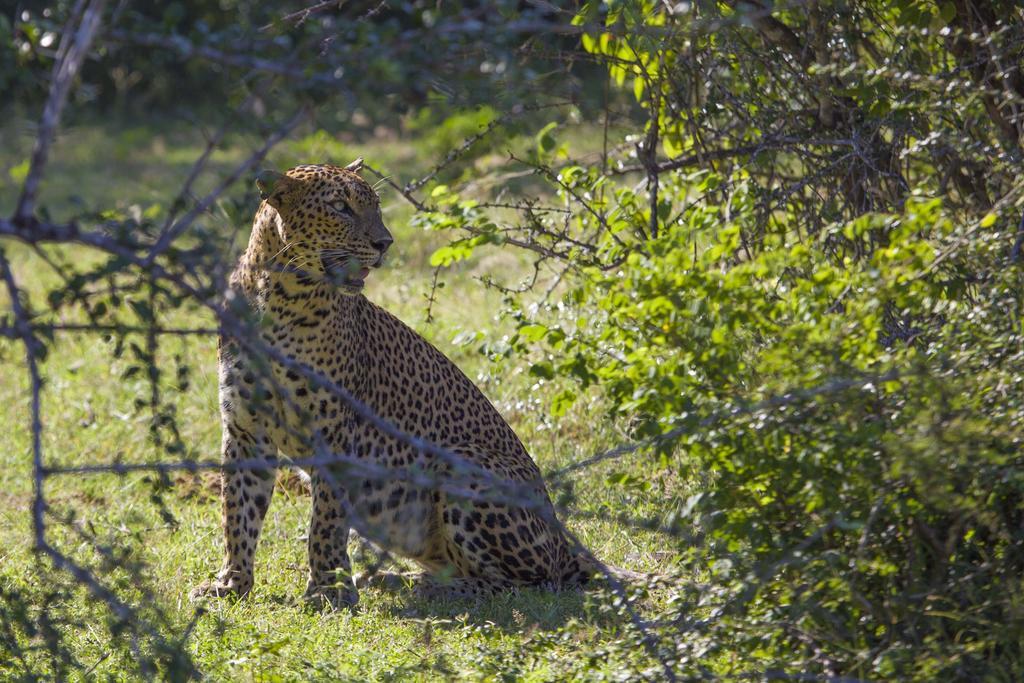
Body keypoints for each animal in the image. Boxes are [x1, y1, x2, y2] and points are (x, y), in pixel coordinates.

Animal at [190, 160, 598, 610]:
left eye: (375, 205)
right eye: (340, 206)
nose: (384, 243)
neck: (279, 296)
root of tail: (564, 543)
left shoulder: (334, 432)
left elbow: (325, 521)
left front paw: (329, 591)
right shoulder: (245, 429)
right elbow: (238, 511)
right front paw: (232, 583)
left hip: (463, 464)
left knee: (525, 583)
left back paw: (426, 588)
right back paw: (391, 578)